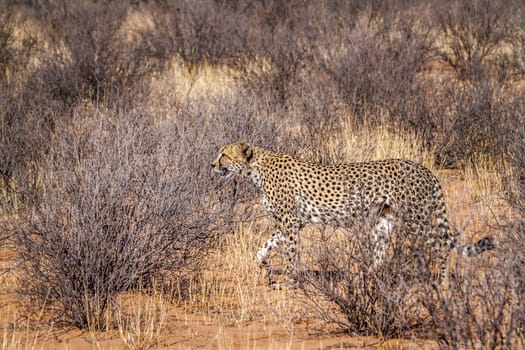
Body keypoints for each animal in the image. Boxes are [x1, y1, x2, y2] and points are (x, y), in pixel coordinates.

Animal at [210, 141, 496, 286]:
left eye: (223, 154)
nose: (212, 165)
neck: (255, 168)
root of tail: (423, 168)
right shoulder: (295, 221)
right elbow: (265, 245)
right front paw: (263, 264)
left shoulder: (291, 221)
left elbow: (291, 252)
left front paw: (290, 280)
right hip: (384, 221)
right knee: (380, 253)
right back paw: (365, 279)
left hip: (417, 218)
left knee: (441, 245)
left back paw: (443, 283)